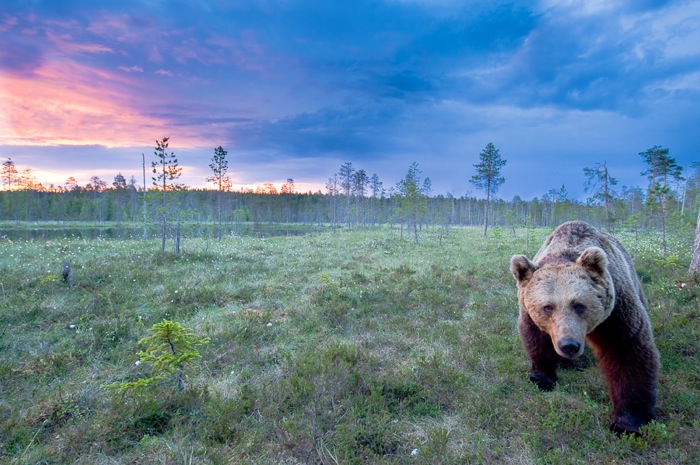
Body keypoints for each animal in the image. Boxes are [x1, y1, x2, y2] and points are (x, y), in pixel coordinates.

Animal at [512, 219, 660, 434]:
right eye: (547, 307)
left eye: (579, 305)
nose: (569, 345)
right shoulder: (530, 314)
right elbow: (536, 339)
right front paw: (542, 378)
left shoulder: (615, 313)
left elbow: (627, 352)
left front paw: (628, 423)